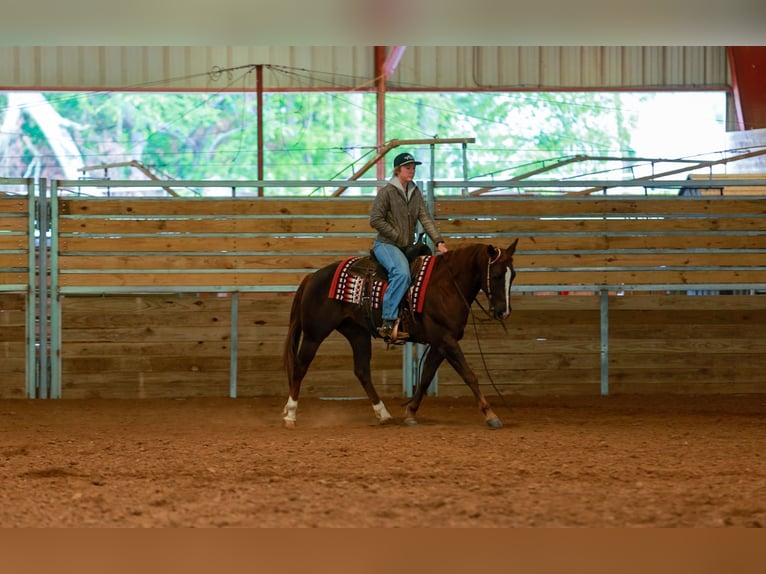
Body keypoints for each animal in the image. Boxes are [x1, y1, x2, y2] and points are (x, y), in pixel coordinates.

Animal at [282, 239, 519, 429]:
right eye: (497, 275)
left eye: (513, 275)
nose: (504, 312)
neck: (447, 285)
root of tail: (312, 276)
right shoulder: (446, 340)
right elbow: (469, 375)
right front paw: (491, 415)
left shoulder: (440, 343)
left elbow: (426, 377)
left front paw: (410, 413)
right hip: (314, 334)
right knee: (300, 367)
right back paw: (291, 414)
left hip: (357, 333)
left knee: (362, 371)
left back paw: (383, 414)